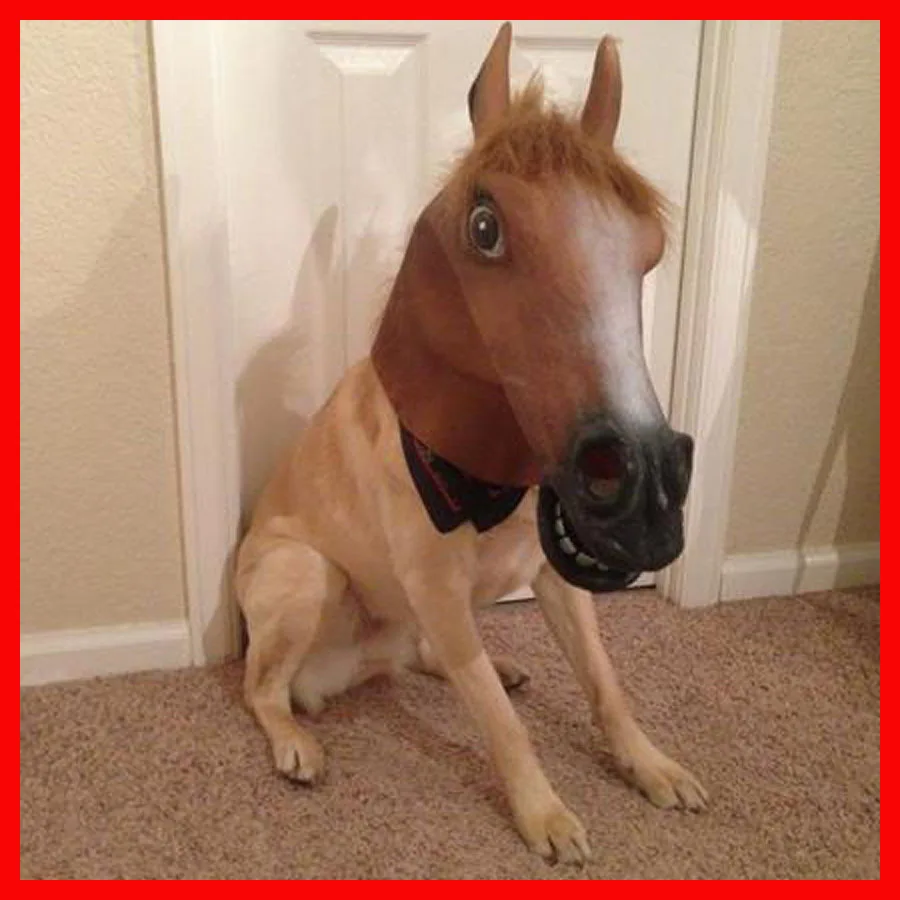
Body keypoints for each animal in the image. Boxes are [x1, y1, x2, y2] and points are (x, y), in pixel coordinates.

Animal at [236, 23, 707, 865]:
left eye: (650, 248)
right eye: (484, 228)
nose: (645, 497)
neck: (495, 479)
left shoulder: (556, 583)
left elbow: (604, 683)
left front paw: (648, 766)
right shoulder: (437, 592)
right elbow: (501, 723)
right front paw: (544, 814)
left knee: (434, 662)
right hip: (307, 574)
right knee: (260, 688)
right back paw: (294, 743)